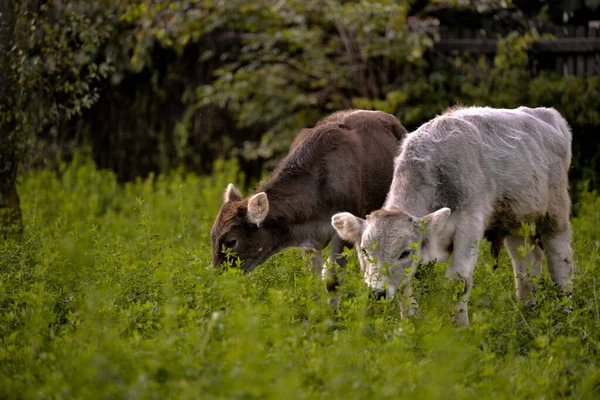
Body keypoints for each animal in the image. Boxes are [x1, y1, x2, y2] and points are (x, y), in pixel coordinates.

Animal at [330, 106, 576, 324]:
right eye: (364, 250)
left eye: (405, 252)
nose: (377, 292)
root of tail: (547, 115)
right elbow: (405, 288)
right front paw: (410, 327)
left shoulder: (470, 225)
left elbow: (458, 281)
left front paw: (459, 328)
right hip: (516, 220)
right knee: (526, 264)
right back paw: (526, 313)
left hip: (555, 210)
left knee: (559, 258)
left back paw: (566, 312)